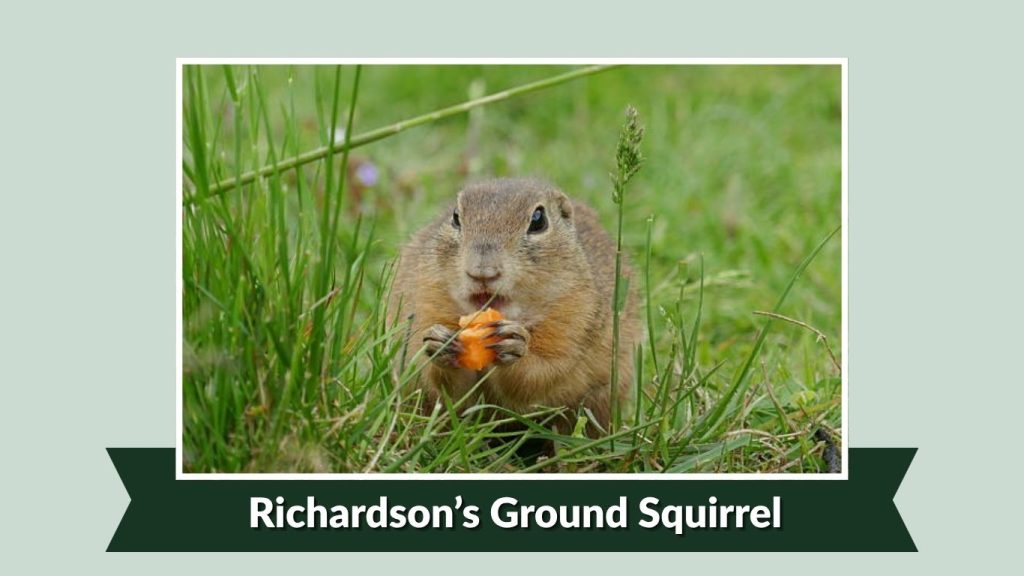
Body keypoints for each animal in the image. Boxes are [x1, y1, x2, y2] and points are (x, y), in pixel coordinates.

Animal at [389, 178, 639, 434]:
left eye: (538, 220)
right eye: (456, 217)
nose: (482, 271)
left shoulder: (574, 319)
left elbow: (542, 374)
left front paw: (514, 344)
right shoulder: (426, 299)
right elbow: (448, 388)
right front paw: (439, 343)